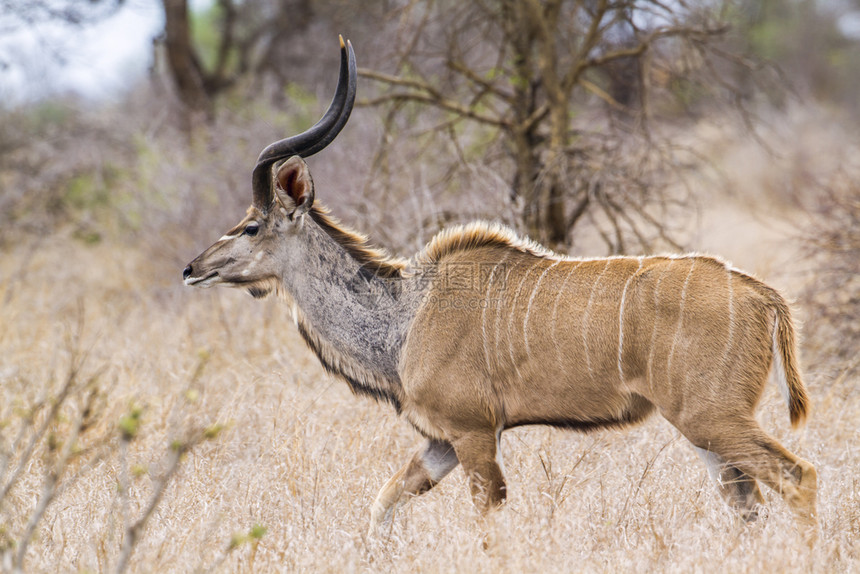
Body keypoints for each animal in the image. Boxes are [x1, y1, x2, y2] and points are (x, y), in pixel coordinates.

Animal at [183, 37, 820, 544]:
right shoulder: (439, 443)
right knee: (747, 503)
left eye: (251, 226)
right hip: (706, 432)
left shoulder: (472, 433)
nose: (191, 269)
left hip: (711, 419)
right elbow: (383, 505)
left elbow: (487, 520)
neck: (406, 314)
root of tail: (765, 297)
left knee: (798, 477)